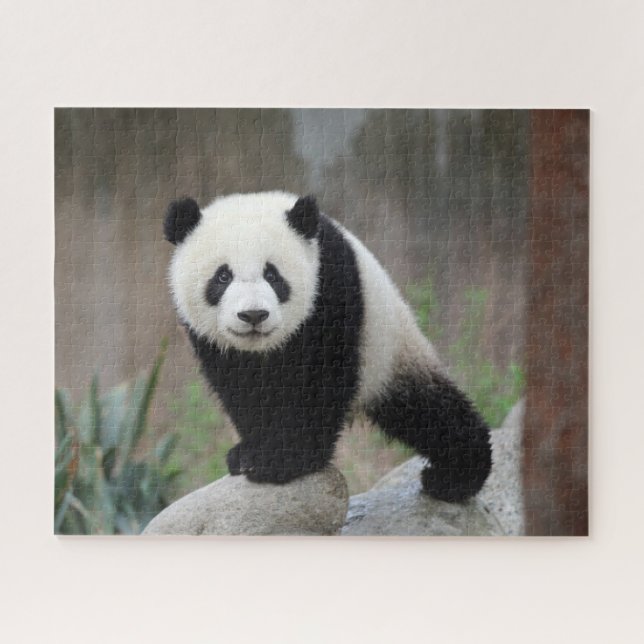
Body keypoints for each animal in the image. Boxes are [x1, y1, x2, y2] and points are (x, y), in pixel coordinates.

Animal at [164, 191, 492, 502]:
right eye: (223, 276)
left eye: (272, 275)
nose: (254, 315)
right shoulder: (216, 343)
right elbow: (243, 390)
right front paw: (250, 453)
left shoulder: (331, 287)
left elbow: (321, 381)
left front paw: (287, 459)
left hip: (389, 349)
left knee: (431, 412)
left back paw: (455, 476)